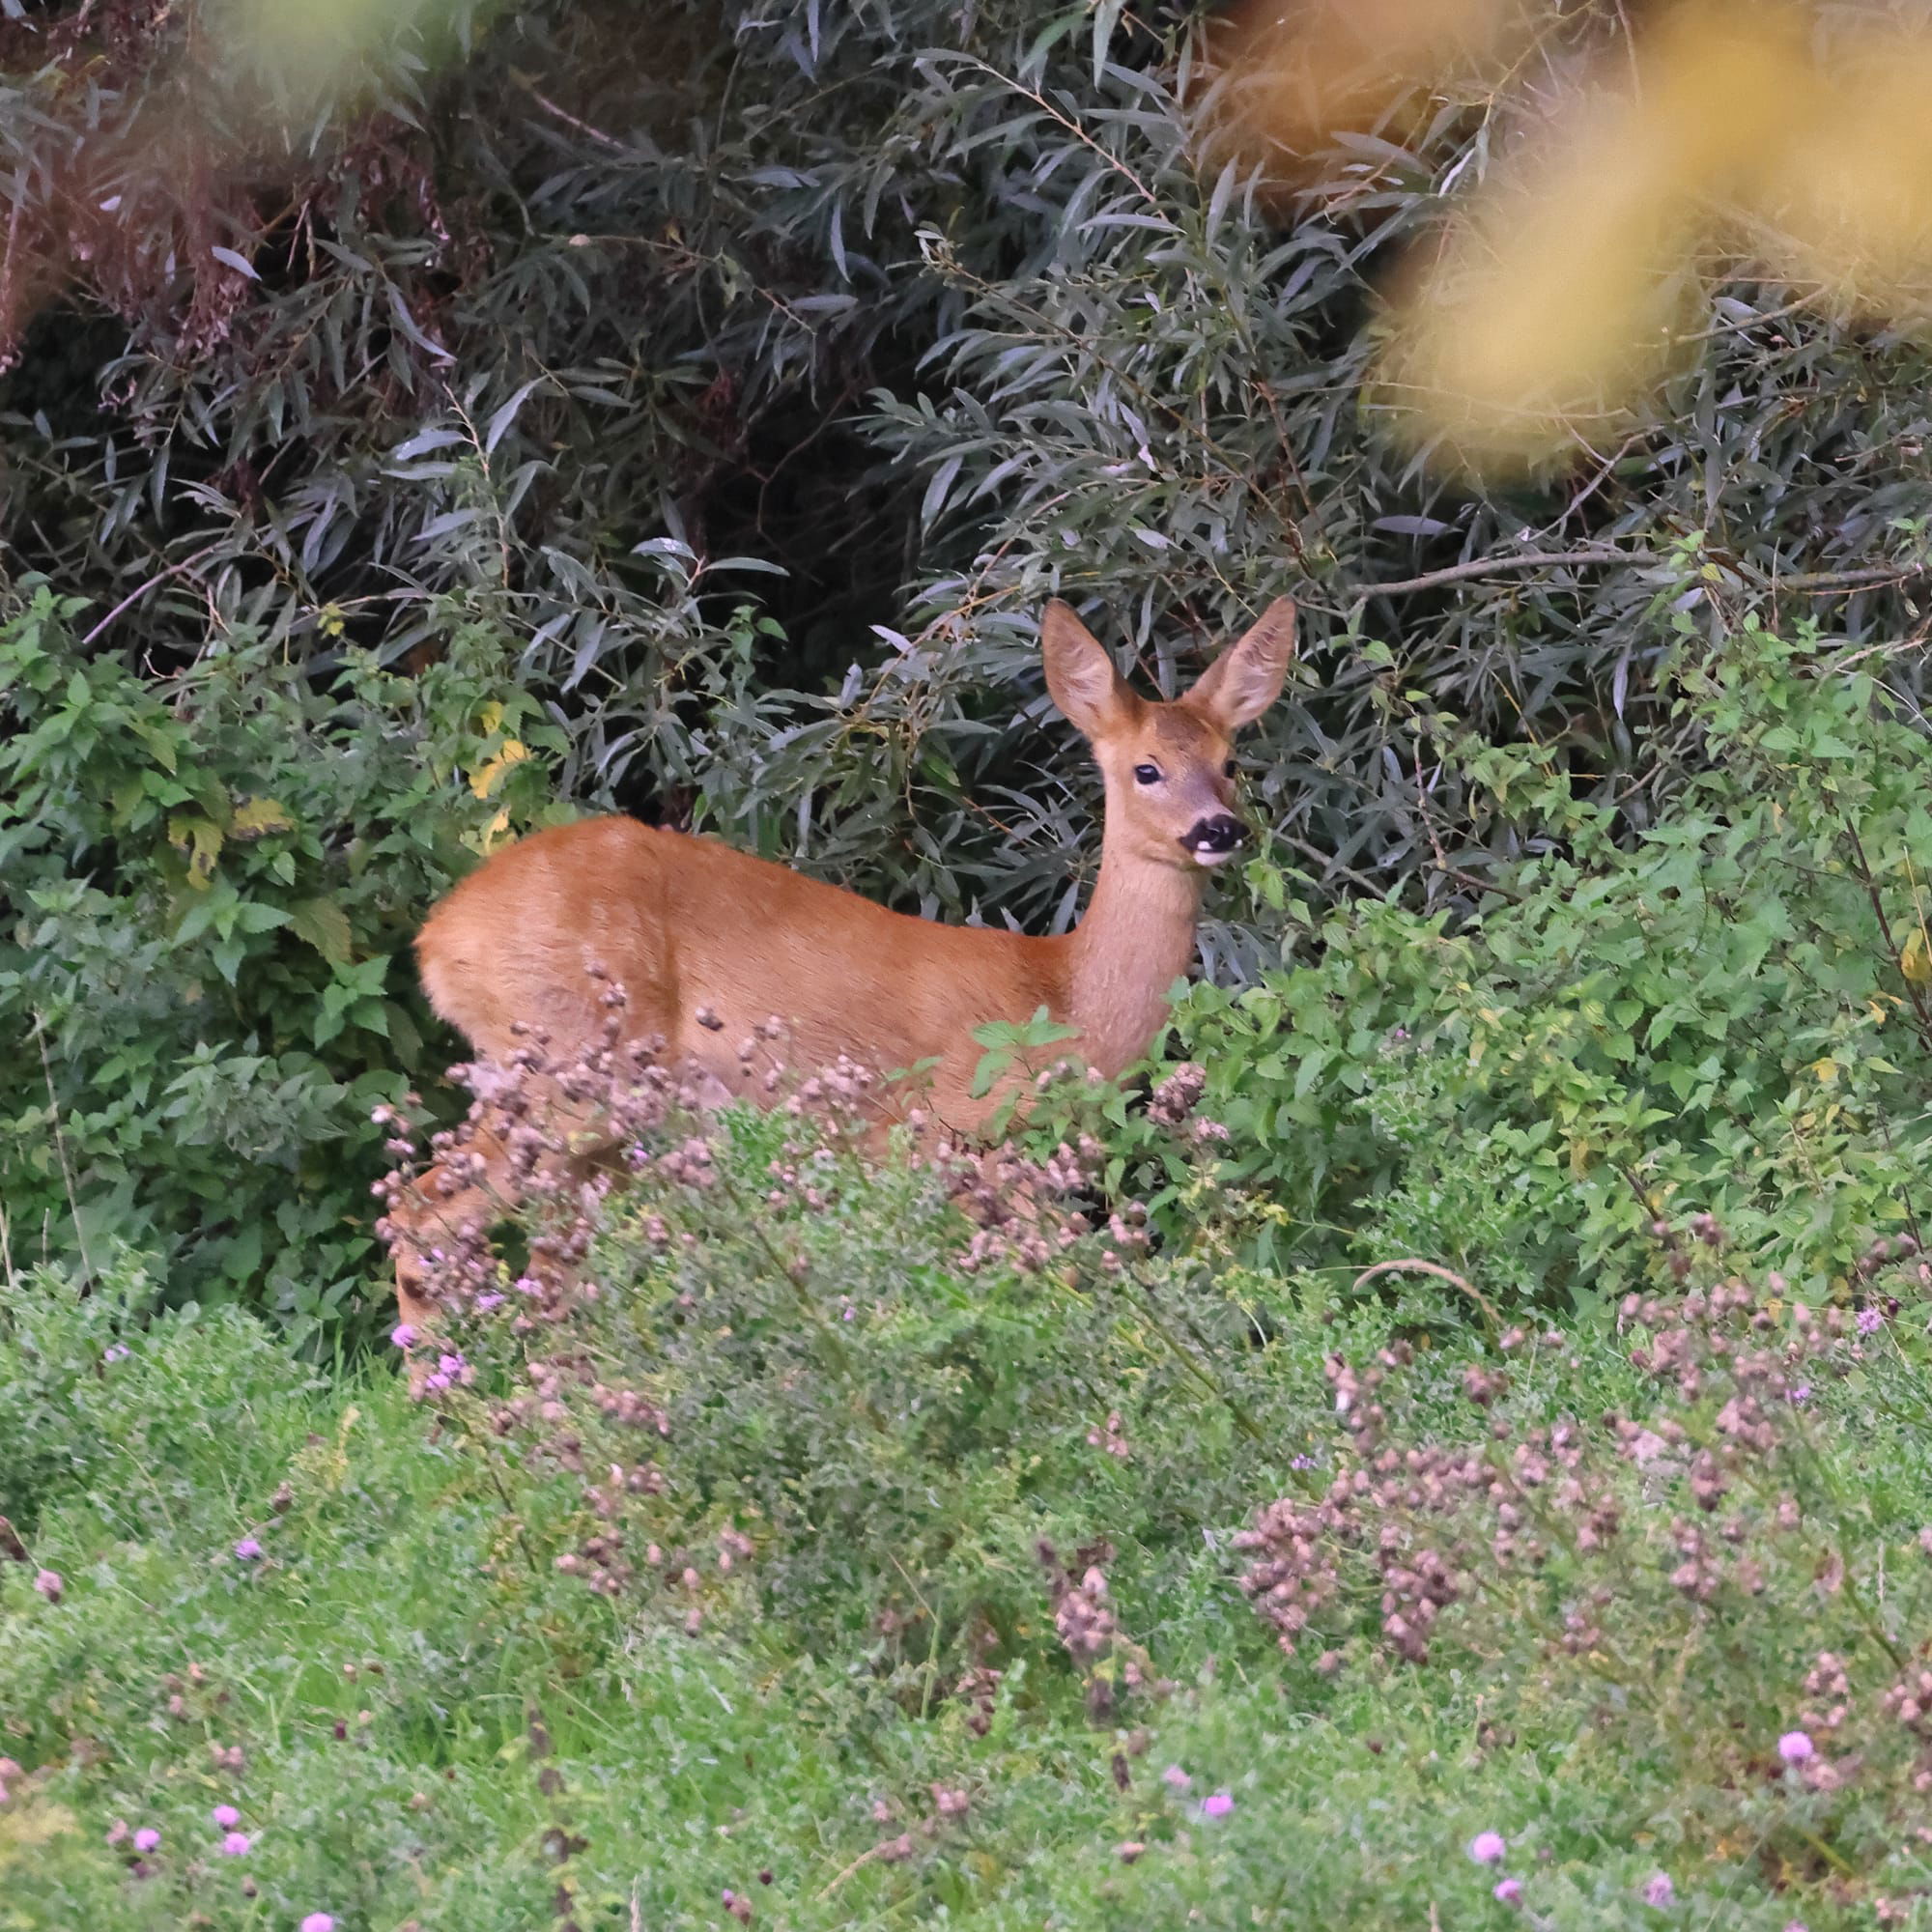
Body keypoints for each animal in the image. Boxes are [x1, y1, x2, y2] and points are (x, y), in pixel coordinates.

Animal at [383, 603, 1291, 1329]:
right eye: (1147, 769)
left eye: (1231, 764)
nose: (1219, 829)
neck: (1062, 993)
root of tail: (439, 940)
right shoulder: (946, 1131)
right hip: (562, 1067)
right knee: (423, 1214)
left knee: (544, 1265)